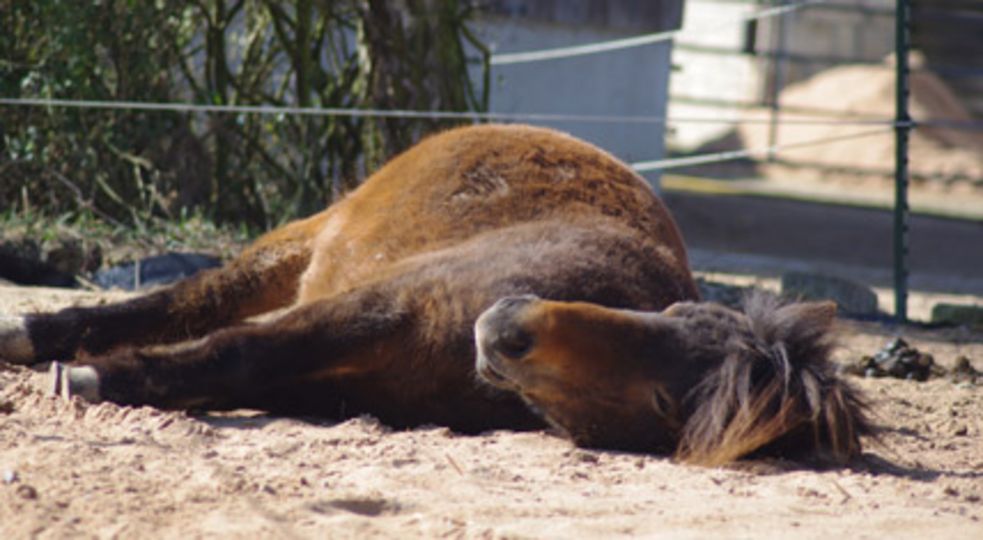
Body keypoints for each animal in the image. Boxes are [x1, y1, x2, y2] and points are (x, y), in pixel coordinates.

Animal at [0, 124, 868, 466]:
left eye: (663, 401)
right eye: (677, 313)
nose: (509, 324)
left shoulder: (340, 375)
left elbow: (232, 369)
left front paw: (107, 379)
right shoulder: (378, 305)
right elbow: (232, 345)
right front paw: (89, 375)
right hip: (304, 241)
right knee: (190, 302)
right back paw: (34, 334)